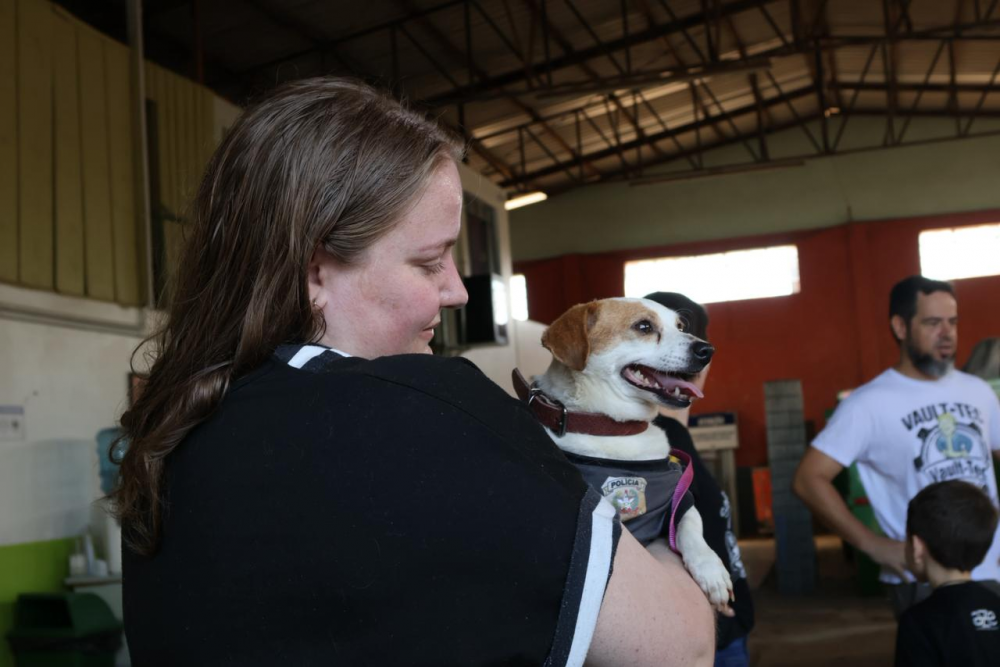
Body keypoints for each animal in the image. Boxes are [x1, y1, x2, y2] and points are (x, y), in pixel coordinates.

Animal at [520, 297, 733, 612]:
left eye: (680, 326)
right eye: (643, 327)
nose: (707, 350)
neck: (618, 431)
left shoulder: (680, 502)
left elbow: (691, 528)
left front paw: (712, 571)